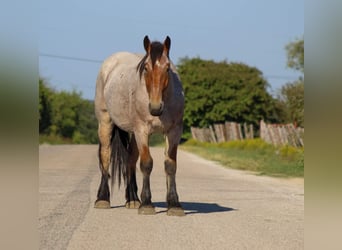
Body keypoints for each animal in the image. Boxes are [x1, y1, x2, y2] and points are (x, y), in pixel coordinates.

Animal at [93, 34, 184, 215]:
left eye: (167, 68)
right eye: (146, 68)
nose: (155, 107)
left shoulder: (174, 132)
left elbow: (170, 165)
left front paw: (174, 204)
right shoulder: (142, 131)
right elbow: (146, 164)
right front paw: (147, 204)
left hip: (134, 134)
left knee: (130, 161)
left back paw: (133, 199)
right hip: (106, 123)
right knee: (105, 157)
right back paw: (103, 199)